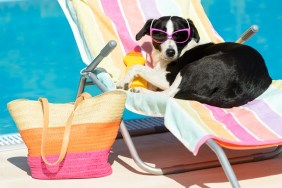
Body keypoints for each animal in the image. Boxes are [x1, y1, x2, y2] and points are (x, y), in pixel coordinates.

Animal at [117, 16, 270, 107]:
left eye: (181, 35)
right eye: (159, 34)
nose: (171, 52)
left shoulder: (169, 79)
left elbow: (136, 67)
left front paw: (123, 81)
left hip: (191, 68)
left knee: (169, 94)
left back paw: (140, 90)